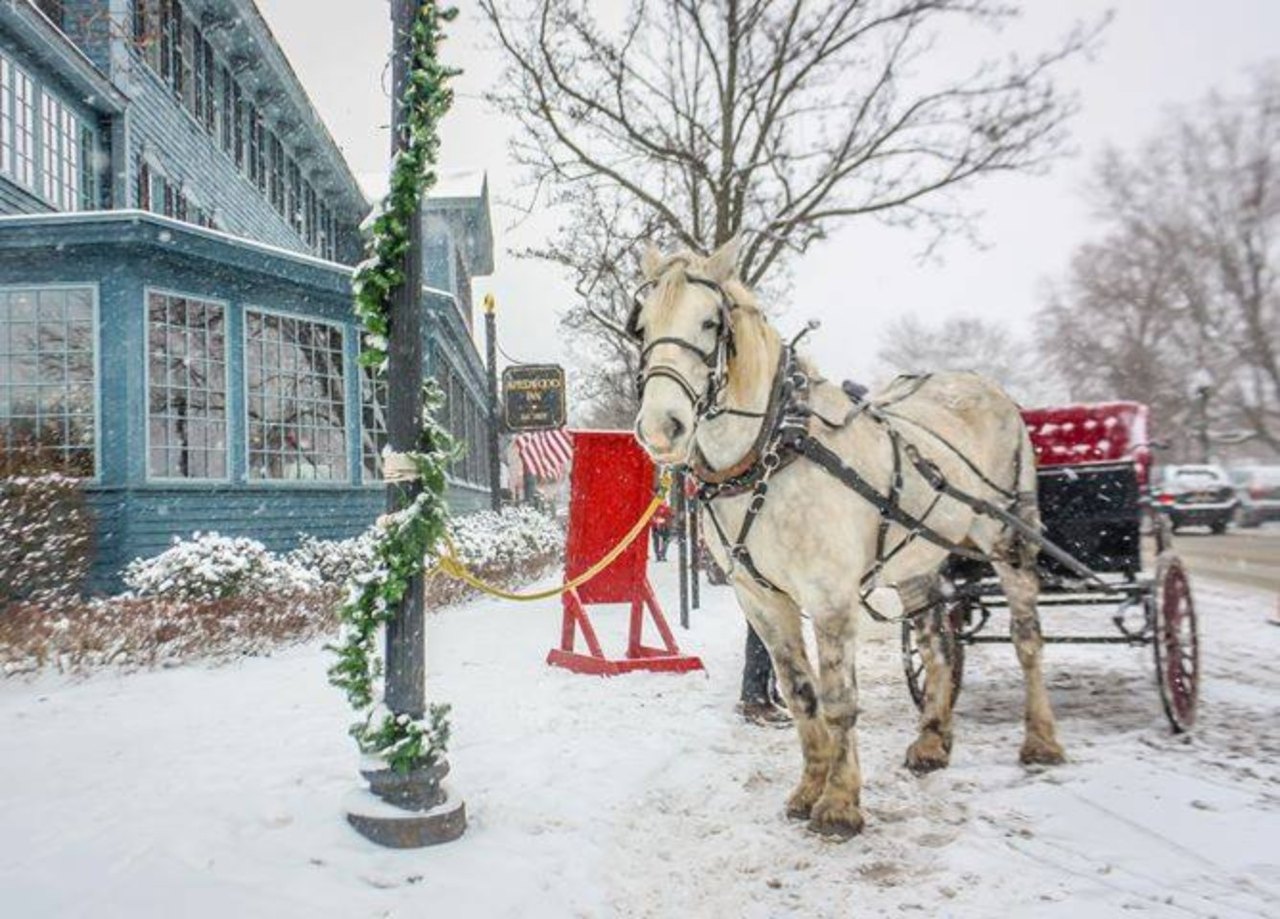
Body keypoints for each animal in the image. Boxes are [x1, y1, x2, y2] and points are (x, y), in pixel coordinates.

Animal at [627, 243, 1059, 844]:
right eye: (642, 327)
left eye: (710, 322)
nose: (661, 427)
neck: (772, 451)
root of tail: (984, 387)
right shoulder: (760, 599)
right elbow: (801, 693)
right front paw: (810, 788)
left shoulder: (830, 595)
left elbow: (837, 698)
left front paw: (839, 803)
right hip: (917, 562)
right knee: (938, 647)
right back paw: (932, 739)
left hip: (1009, 538)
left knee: (1026, 639)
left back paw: (1041, 738)